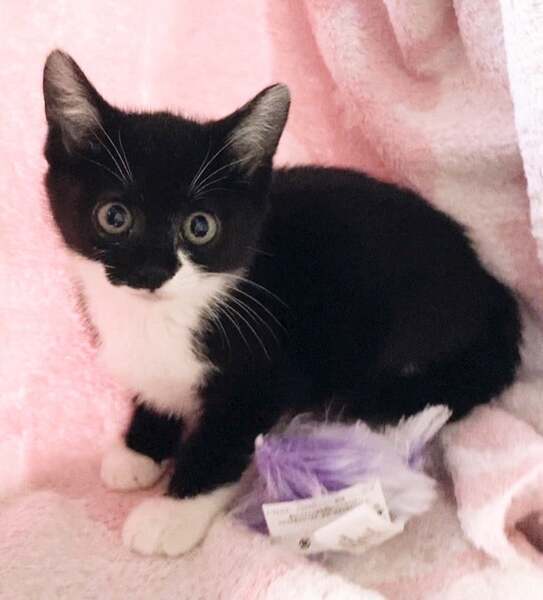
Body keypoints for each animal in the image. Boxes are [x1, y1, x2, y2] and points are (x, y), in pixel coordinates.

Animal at [42, 50, 522, 557]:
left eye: (200, 226)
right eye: (114, 217)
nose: (152, 272)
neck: (160, 318)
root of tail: (487, 281)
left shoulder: (269, 370)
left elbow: (222, 439)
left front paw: (172, 513)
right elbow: (154, 388)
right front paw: (140, 447)